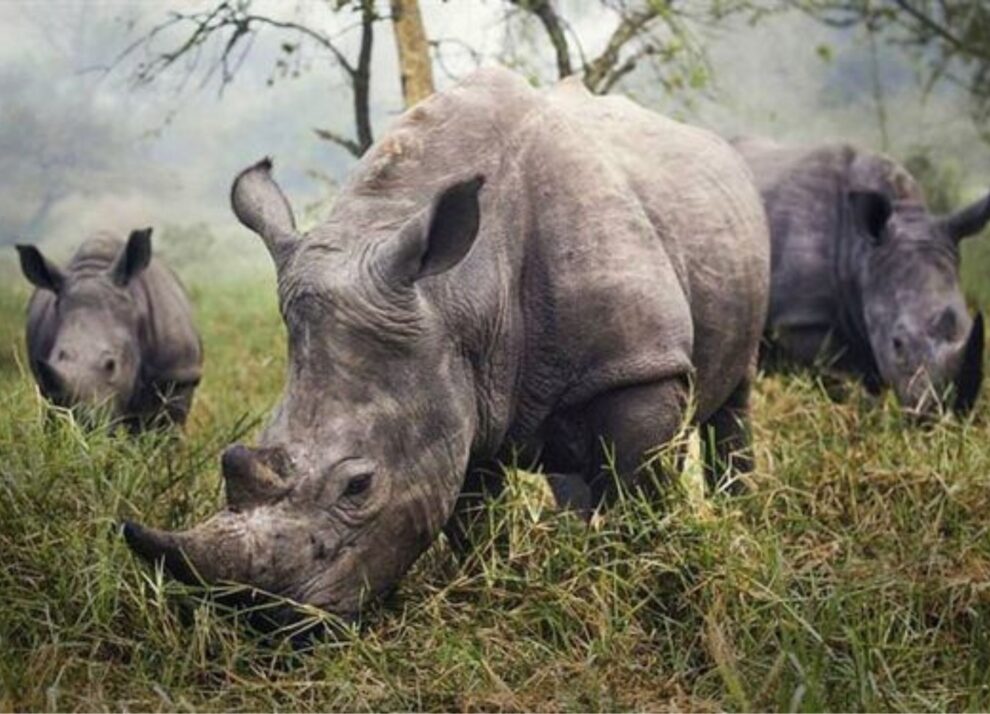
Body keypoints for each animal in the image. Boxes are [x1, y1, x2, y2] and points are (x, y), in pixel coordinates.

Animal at [16, 230, 203, 429]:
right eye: (58, 357)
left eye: (111, 365)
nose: (82, 421)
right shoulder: (48, 385)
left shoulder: (179, 375)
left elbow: (167, 427)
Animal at [123, 68, 770, 623]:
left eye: (359, 486)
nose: (269, 621)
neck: (458, 293)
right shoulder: (457, 385)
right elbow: (468, 515)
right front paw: (490, 589)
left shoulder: (638, 365)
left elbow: (637, 491)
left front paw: (633, 584)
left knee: (731, 398)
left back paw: (736, 510)